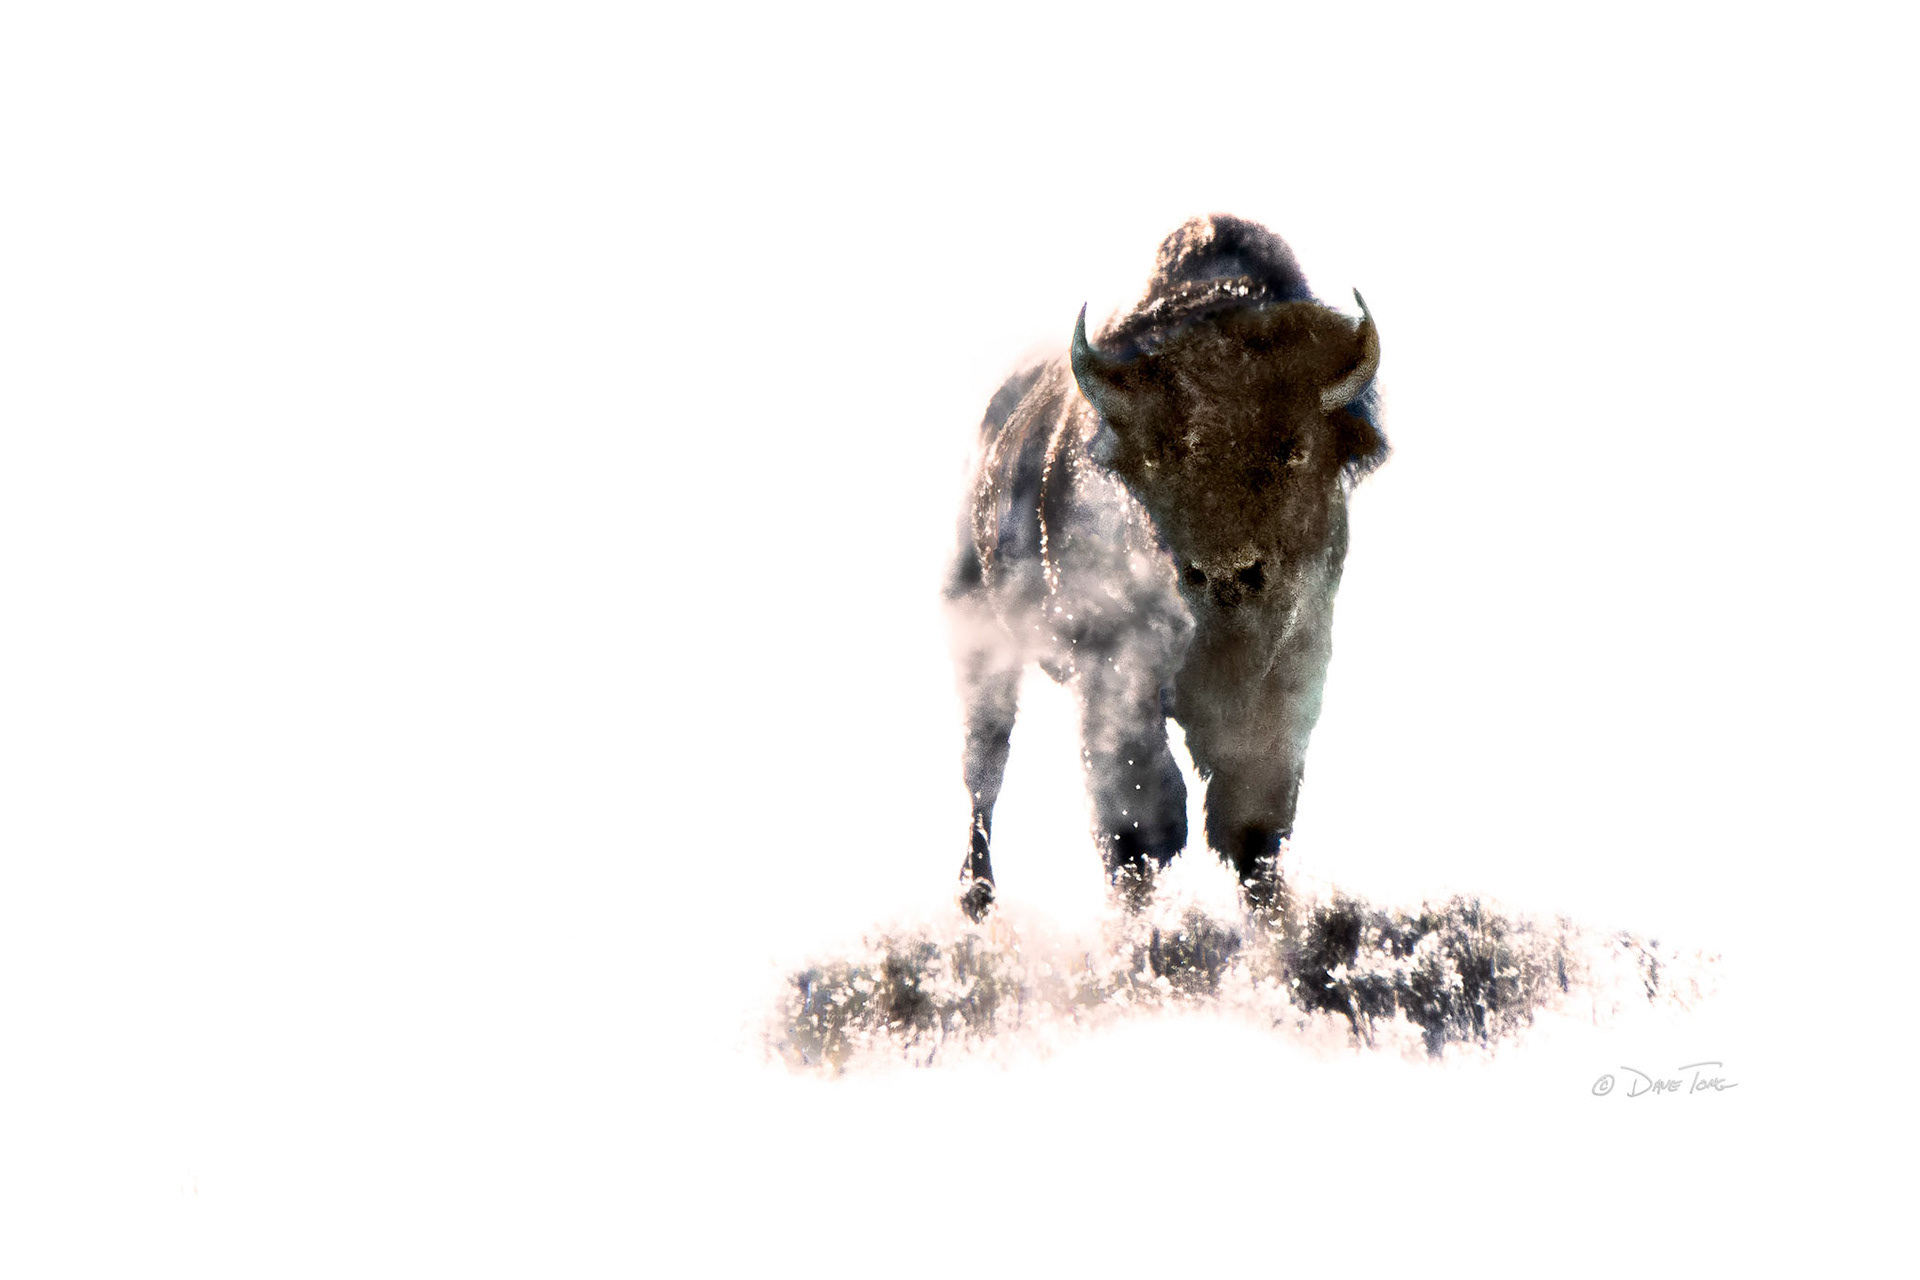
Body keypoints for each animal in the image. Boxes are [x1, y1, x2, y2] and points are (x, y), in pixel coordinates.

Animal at [945, 214, 1388, 921]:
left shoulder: (1292, 672)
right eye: (1157, 457)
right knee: (985, 767)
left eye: (1294, 449)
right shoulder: (1113, 673)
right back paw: (976, 897)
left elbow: (1253, 819)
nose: (1227, 573)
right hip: (980, 637)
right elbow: (1140, 813)